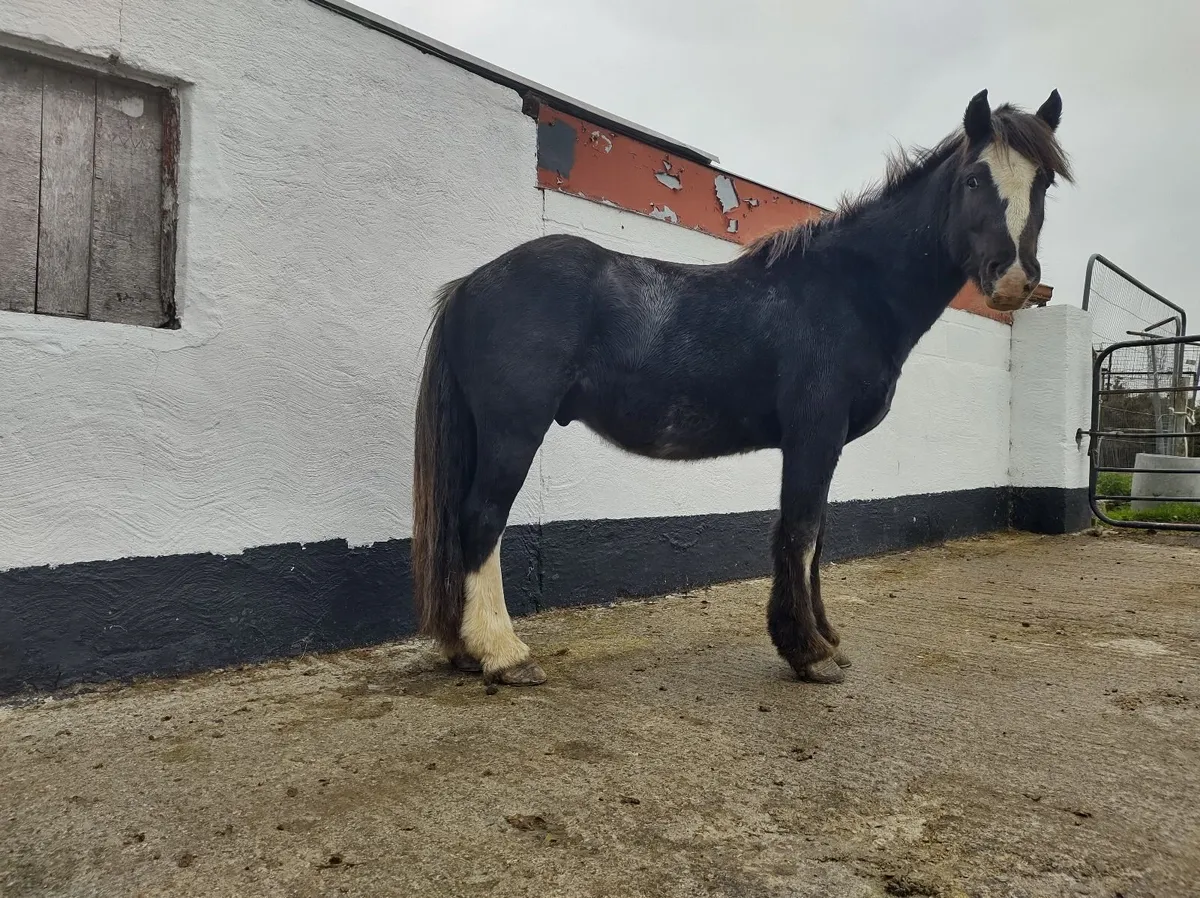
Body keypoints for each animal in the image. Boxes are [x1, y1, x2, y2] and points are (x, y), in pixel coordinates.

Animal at [411, 89, 1073, 688]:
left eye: (1043, 185)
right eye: (974, 179)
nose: (1014, 280)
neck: (850, 291)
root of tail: (471, 284)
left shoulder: (821, 443)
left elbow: (816, 535)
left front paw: (823, 640)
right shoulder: (814, 433)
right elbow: (801, 532)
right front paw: (809, 652)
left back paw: (467, 651)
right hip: (513, 431)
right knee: (481, 520)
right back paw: (503, 656)